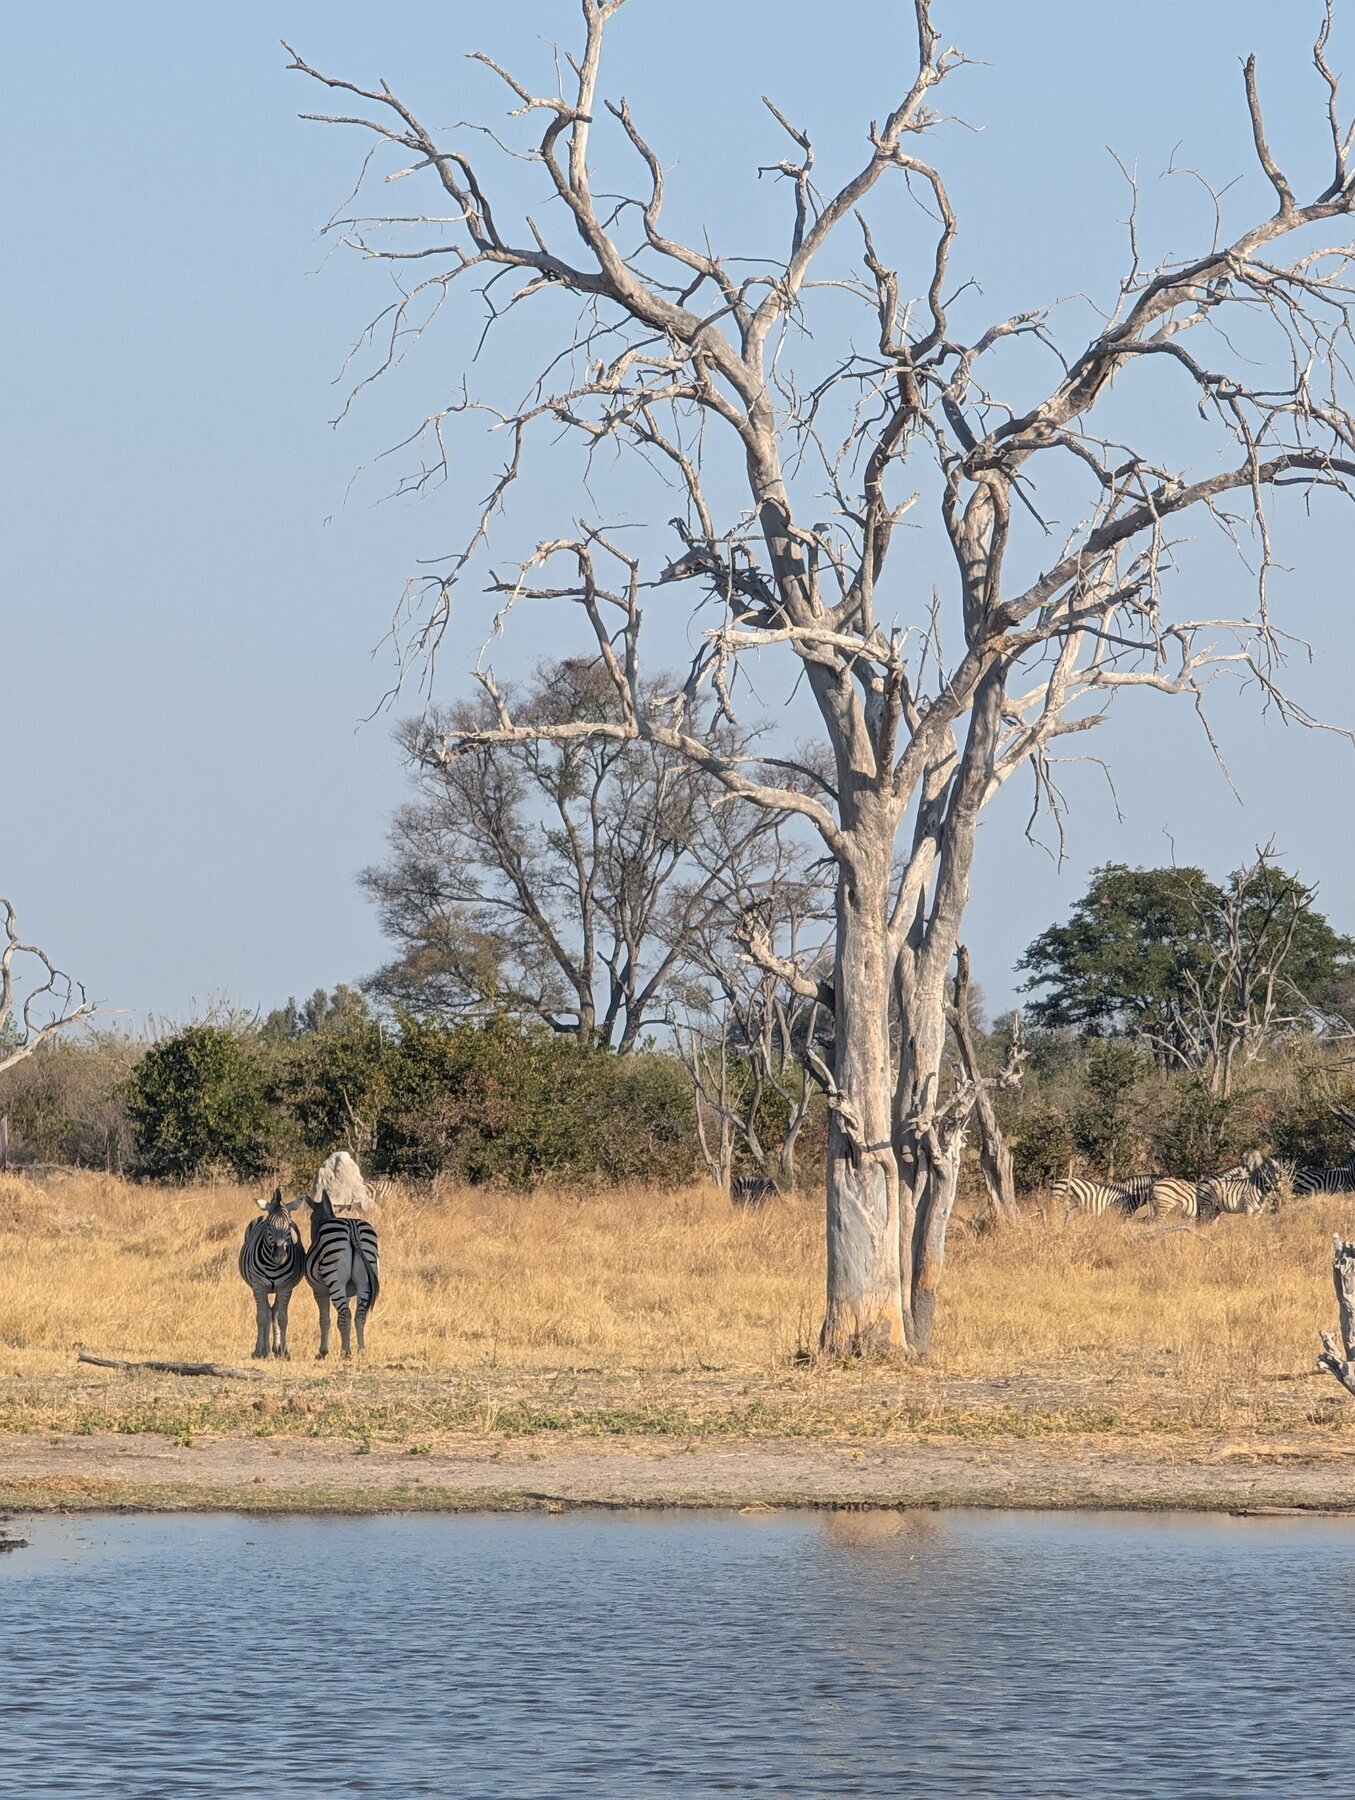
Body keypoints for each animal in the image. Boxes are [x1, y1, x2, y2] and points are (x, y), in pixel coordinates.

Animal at [238, 1188, 306, 1359]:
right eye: (269, 1225)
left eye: (289, 1225)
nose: (280, 1255)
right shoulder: (259, 1286)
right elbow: (261, 1318)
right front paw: (261, 1351)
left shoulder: (285, 1288)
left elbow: (282, 1318)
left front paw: (284, 1352)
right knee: (266, 1313)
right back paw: (263, 1350)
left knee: (273, 1312)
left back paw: (275, 1349)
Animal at [304, 1188, 380, 1359]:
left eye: (311, 1217)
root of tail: (353, 1228)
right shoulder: (350, 1291)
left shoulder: (319, 1291)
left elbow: (324, 1320)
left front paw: (322, 1352)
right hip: (364, 1282)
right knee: (359, 1314)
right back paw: (361, 1350)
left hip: (335, 1280)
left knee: (345, 1314)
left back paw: (346, 1352)